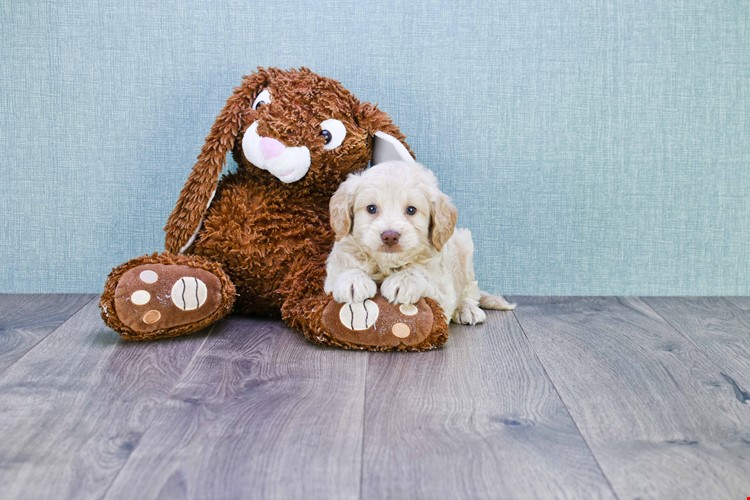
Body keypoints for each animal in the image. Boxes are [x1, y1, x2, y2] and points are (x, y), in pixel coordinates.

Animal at [326, 160, 516, 324]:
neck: (386, 265)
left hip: (465, 246)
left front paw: (403, 281)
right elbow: (345, 266)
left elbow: (422, 272)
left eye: (411, 210)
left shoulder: (443, 288)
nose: (390, 236)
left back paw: (467, 308)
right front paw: (352, 280)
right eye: (371, 208)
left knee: (469, 290)